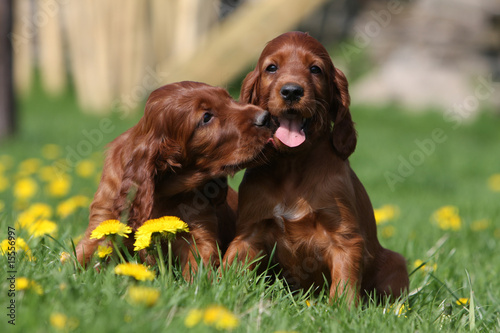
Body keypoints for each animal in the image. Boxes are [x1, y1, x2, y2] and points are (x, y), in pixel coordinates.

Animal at [76, 81, 272, 276]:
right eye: (206, 117)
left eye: (229, 98)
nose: (266, 117)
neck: (163, 189)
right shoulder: (102, 223)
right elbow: (81, 256)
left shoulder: (198, 230)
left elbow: (197, 268)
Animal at [225, 32, 408, 302]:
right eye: (272, 67)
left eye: (315, 69)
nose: (291, 91)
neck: (292, 165)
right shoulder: (249, 233)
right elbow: (230, 263)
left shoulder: (345, 238)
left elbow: (344, 283)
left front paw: (342, 309)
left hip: (397, 263)